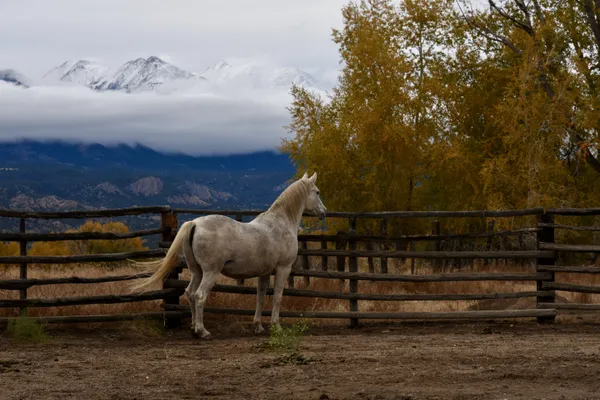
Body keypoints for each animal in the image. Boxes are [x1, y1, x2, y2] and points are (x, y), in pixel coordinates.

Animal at [131, 173, 326, 340]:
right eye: (317, 192)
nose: (323, 212)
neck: (280, 223)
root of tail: (195, 223)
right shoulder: (283, 269)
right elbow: (277, 297)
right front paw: (276, 327)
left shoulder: (264, 272)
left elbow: (260, 297)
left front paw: (258, 326)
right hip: (210, 272)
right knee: (200, 295)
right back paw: (203, 332)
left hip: (197, 271)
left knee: (190, 293)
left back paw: (194, 328)